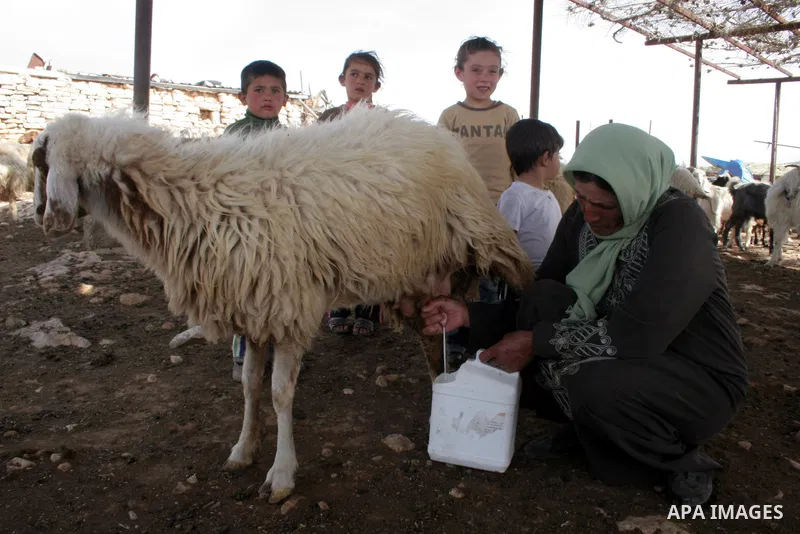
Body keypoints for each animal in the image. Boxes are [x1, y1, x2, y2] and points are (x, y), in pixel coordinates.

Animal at [31, 107, 533, 503]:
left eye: (41, 160)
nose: (39, 216)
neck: (189, 200)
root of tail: (430, 130)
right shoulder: (252, 309)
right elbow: (250, 385)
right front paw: (243, 450)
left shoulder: (287, 307)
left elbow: (279, 394)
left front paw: (282, 474)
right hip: (420, 279)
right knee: (433, 341)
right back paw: (440, 393)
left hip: (489, 241)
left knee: (522, 287)